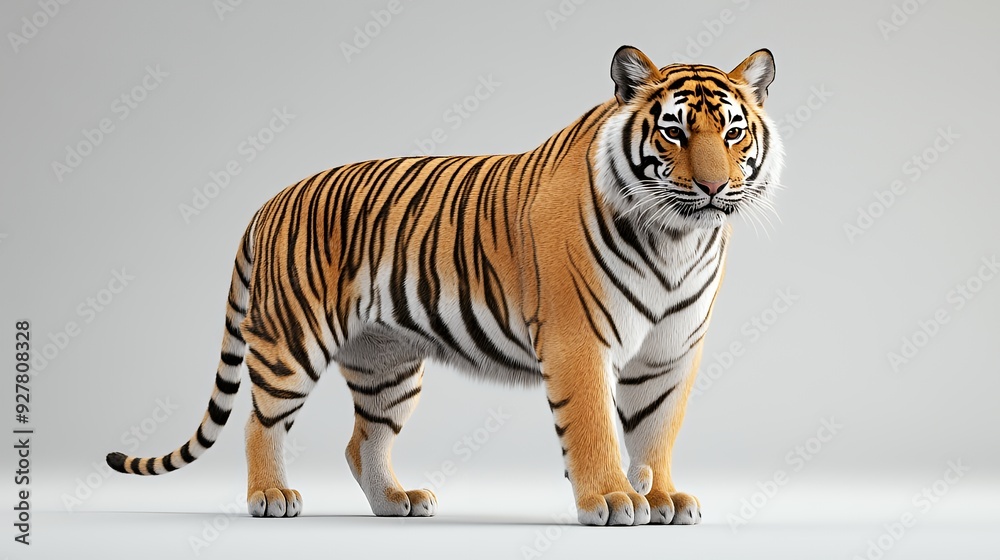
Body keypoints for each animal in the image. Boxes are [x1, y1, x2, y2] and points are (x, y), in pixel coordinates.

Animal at [106, 45, 783, 526]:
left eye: (732, 132)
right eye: (673, 131)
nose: (714, 187)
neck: (677, 238)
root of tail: (269, 201)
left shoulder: (672, 350)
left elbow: (656, 427)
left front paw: (663, 497)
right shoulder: (579, 340)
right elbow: (594, 426)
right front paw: (614, 501)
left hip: (388, 362)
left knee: (363, 440)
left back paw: (395, 502)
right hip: (291, 342)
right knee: (259, 422)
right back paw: (272, 496)